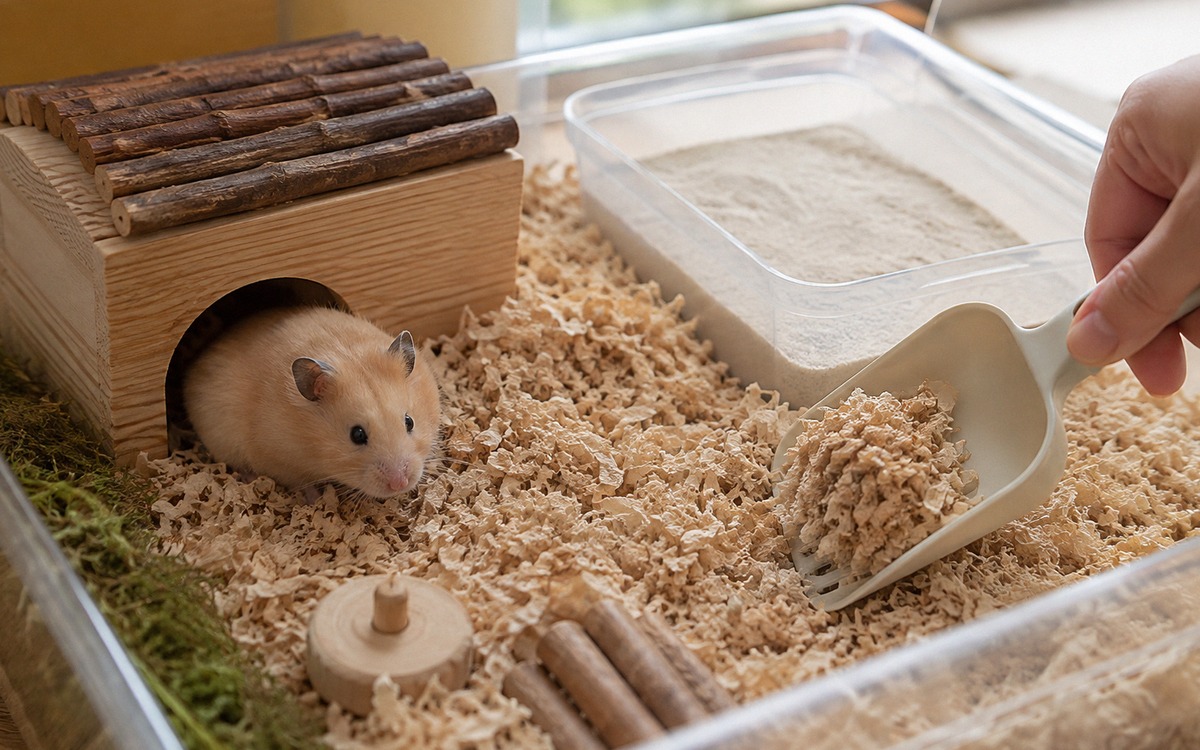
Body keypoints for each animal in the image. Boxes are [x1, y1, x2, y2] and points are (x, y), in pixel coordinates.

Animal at [183, 306, 441, 499]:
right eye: (357, 435)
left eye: (409, 422)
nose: (400, 484)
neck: (309, 440)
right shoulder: (276, 459)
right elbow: (301, 483)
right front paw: (317, 499)